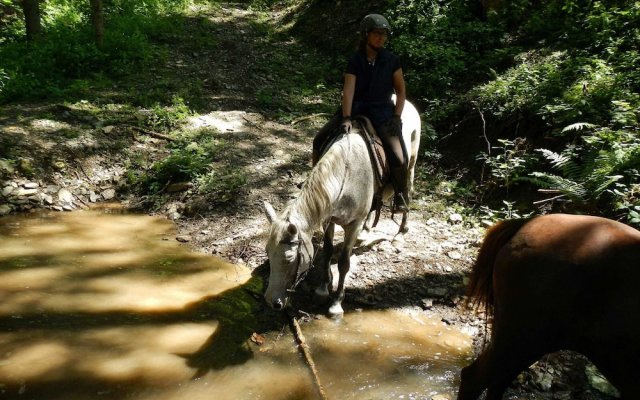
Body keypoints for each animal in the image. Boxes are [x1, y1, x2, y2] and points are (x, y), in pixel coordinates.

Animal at [264, 99, 420, 316]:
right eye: (267, 253)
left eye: (289, 259)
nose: (272, 301)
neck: (345, 175)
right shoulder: (328, 219)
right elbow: (328, 252)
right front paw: (322, 289)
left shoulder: (353, 224)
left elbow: (344, 263)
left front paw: (336, 302)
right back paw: (367, 231)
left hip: (411, 163)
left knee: (408, 190)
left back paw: (401, 232)